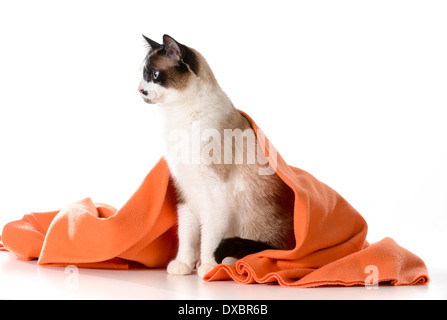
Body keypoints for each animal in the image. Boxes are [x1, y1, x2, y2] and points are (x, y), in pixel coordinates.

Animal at [138, 33, 296, 276]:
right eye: (142, 75)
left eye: (154, 75)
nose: (140, 90)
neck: (178, 117)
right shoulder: (186, 190)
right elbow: (187, 235)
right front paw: (184, 265)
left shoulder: (215, 192)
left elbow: (209, 238)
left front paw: (208, 268)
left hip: (253, 216)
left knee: (266, 251)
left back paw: (229, 262)